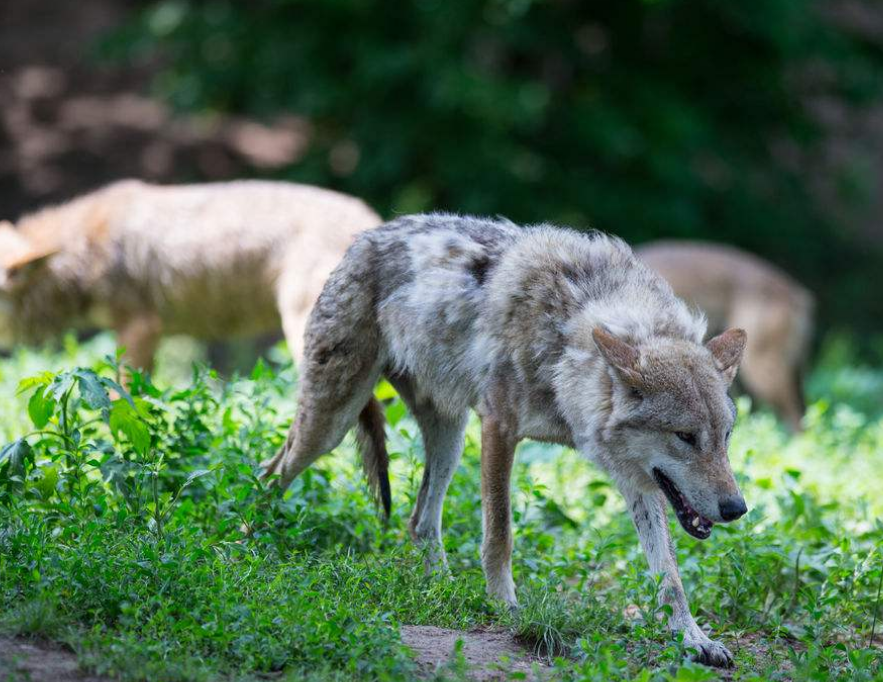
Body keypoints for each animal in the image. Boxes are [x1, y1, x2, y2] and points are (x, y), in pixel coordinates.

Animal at [264, 212, 752, 664]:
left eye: (725, 436)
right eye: (685, 436)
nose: (737, 509)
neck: (566, 340)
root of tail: (367, 236)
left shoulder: (637, 479)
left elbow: (669, 574)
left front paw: (694, 639)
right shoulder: (498, 427)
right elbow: (500, 533)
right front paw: (505, 606)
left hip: (450, 439)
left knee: (419, 521)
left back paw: (444, 589)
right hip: (331, 425)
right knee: (270, 472)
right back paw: (258, 541)